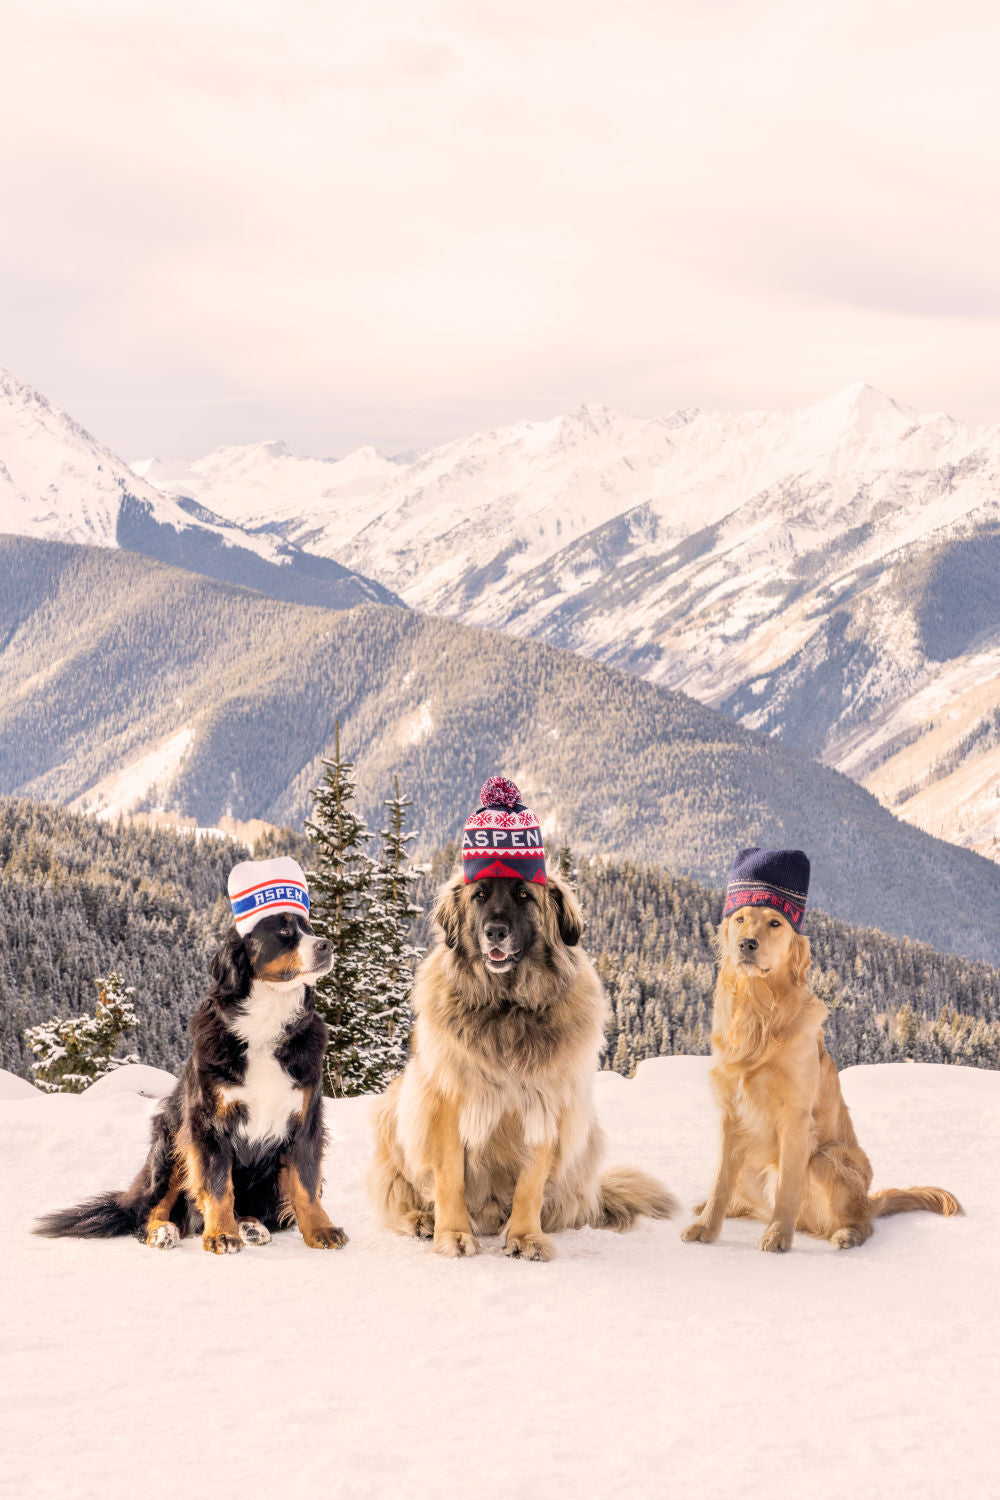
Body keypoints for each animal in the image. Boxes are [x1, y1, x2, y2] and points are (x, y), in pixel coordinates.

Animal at [36, 858, 347, 1254]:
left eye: (309, 927)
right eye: (284, 930)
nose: (327, 945)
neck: (266, 1020)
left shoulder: (305, 1117)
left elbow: (306, 1184)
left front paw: (321, 1229)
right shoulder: (207, 1123)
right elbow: (217, 1185)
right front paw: (221, 1234)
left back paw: (251, 1226)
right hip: (169, 1146)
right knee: (151, 1210)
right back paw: (163, 1231)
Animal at [371, 774, 677, 1254]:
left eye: (523, 895)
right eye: (479, 896)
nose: (495, 931)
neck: (508, 1006)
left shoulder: (548, 1103)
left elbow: (531, 1183)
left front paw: (525, 1237)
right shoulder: (445, 1102)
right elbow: (449, 1177)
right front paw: (453, 1234)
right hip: (393, 1112)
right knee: (400, 1192)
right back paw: (422, 1219)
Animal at [683, 870, 959, 1254]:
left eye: (775, 922)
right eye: (740, 919)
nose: (747, 944)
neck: (758, 1014)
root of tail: (868, 1199)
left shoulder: (795, 1119)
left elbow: (787, 1186)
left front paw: (777, 1236)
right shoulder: (730, 1116)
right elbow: (720, 1181)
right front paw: (706, 1226)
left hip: (827, 1160)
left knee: (861, 1221)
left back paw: (845, 1233)